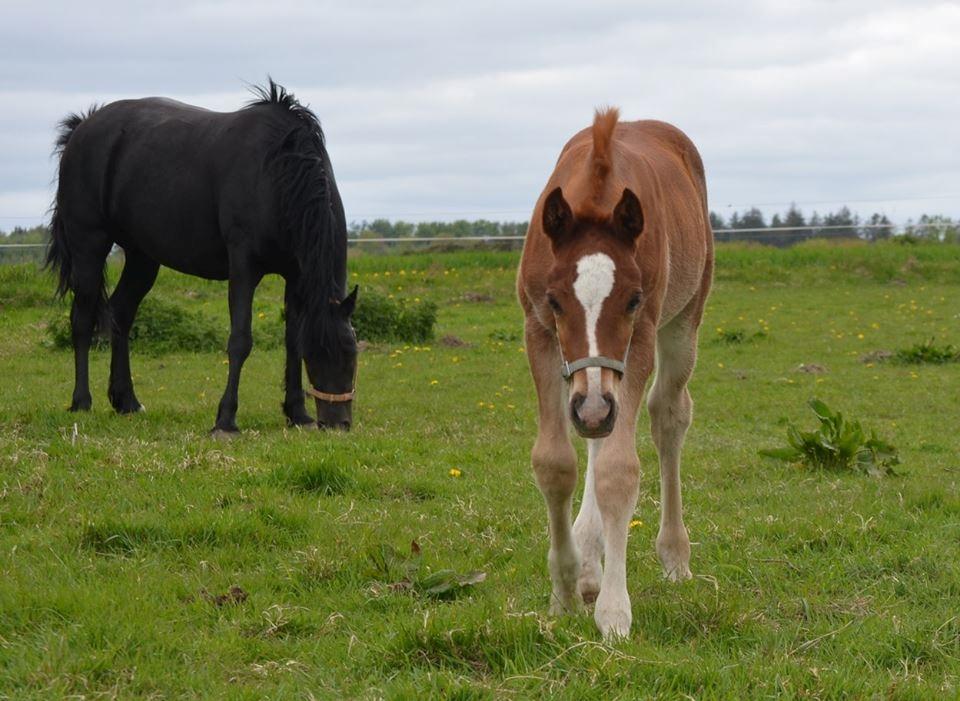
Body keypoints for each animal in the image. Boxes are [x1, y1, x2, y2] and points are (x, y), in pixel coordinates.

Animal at [47, 80, 360, 432]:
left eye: (351, 354)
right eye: (317, 356)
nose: (338, 423)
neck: (277, 172)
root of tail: (81, 127)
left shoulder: (295, 275)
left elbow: (292, 338)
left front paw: (297, 414)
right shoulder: (244, 268)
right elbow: (240, 340)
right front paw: (225, 420)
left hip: (142, 258)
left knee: (121, 313)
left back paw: (126, 401)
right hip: (89, 245)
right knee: (82, 318)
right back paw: (81, 402)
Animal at [516, 106, 712, 636]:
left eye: (632, 299)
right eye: (555, 301)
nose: (592, 408)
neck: (594, 195)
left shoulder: (639, 336)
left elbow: (619, 470)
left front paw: (613, 611)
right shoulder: (538, 332)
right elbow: (555, 462)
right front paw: (565, 589)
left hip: (685, 317)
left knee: (668, 416)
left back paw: (674, 555)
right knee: (598, 434)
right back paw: (588, 562)